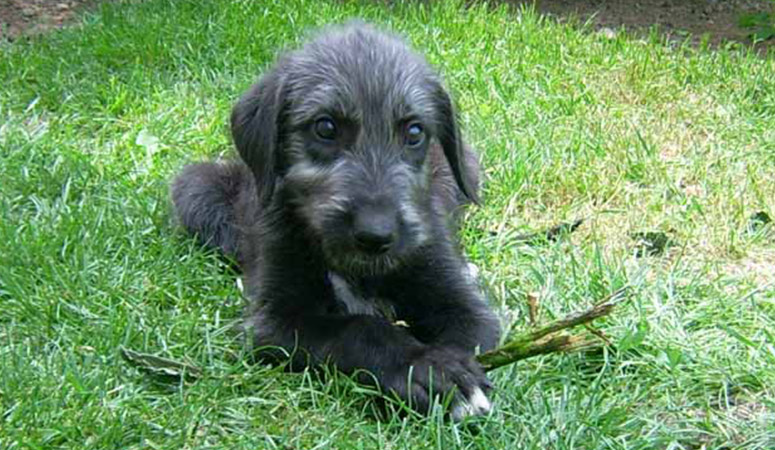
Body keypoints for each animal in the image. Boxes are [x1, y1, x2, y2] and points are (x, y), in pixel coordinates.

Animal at [171, 23, 504, 418]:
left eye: (414, 132)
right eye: (325, 128)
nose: (375, 235)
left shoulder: (461, 301)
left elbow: (470, 337)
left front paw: (443, 368)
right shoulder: (277, 320)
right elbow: (357, 329)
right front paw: (421, 366)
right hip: (195, 188)